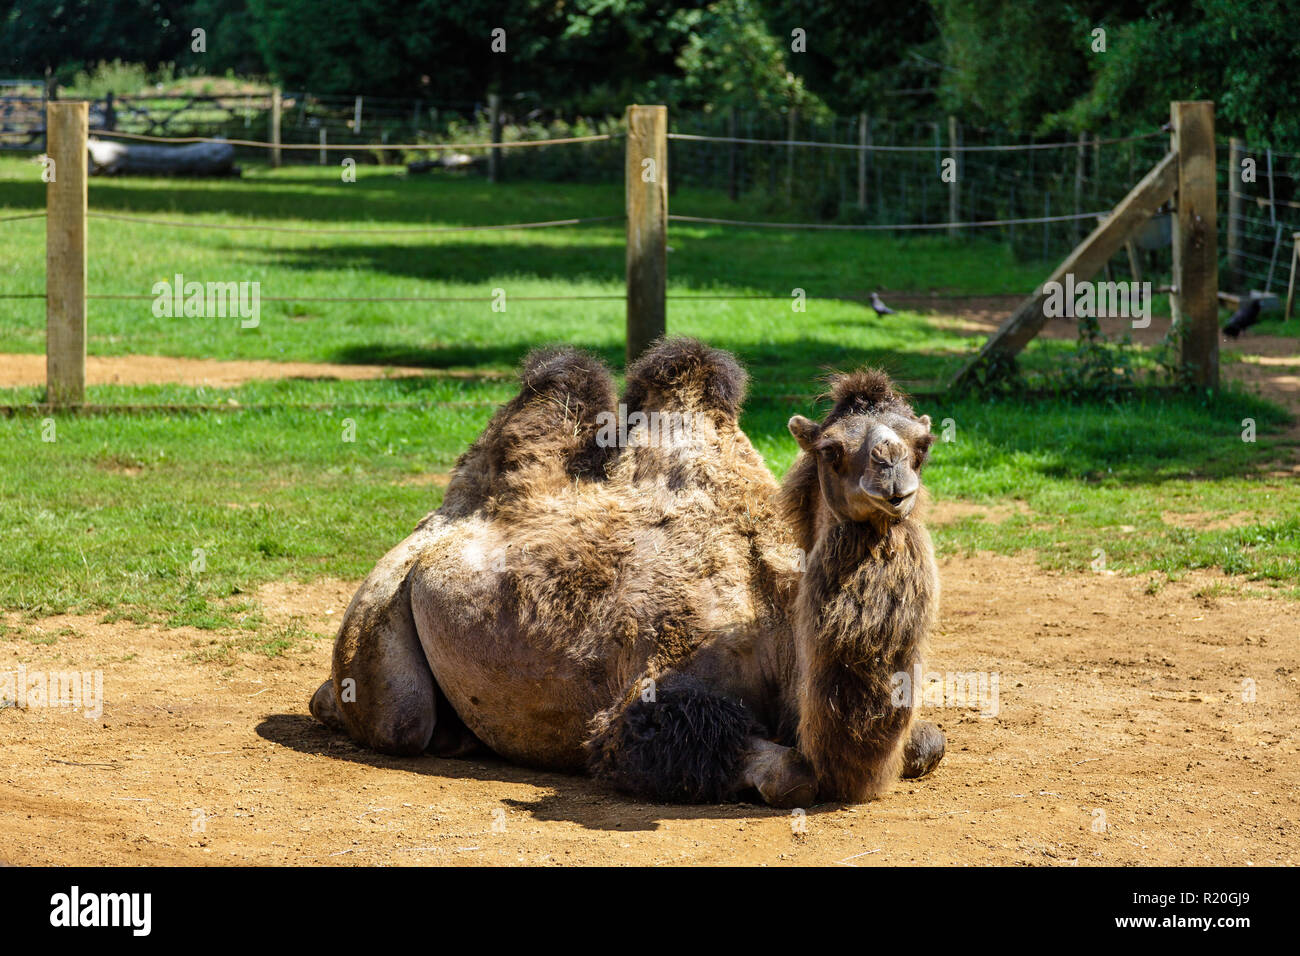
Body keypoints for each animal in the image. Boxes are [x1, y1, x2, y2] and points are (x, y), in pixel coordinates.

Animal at [313, 340, 946, 806]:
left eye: (923, 444)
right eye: (832, 450)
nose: (894, 480)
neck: (780, 625)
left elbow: (928, 744)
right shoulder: (648, 701)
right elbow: (788, 772)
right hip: (383, 607)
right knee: (398, 719)